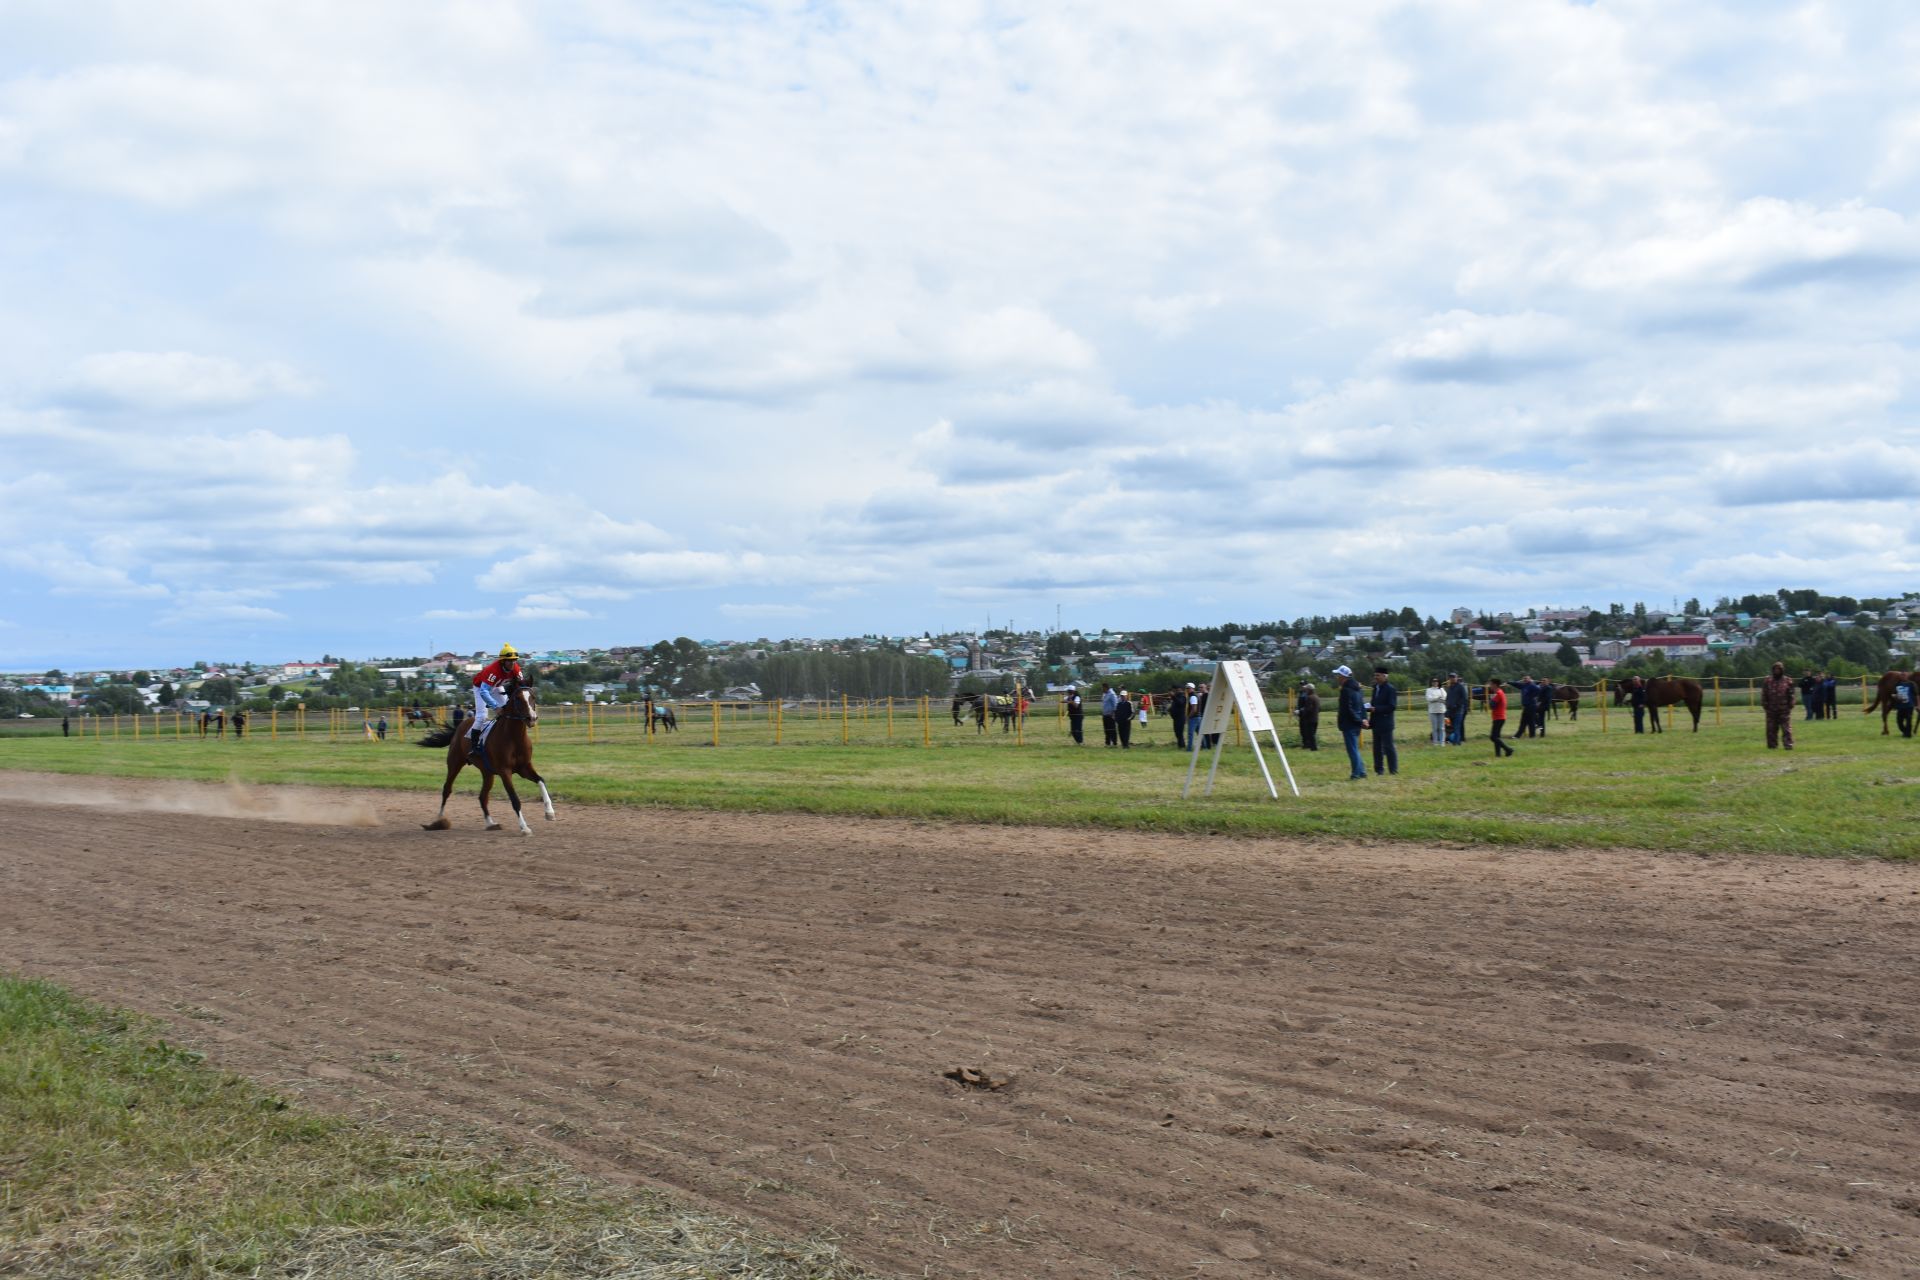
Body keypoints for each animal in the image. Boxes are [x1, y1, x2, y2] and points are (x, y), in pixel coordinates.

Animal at [412, 675, 549, 836]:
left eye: (533, 697)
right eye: (518, 698)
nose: (531, 718)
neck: (514, 738)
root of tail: (460, 726)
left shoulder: (524, 767)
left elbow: (541, 781)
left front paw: (550, 813)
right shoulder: (505, 771)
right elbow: (514, 799)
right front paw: (524, 828)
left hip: (487, 772)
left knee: (482, 796)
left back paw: (490, 823)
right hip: (454, 763)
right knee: (447, 789)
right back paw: (438, 821)